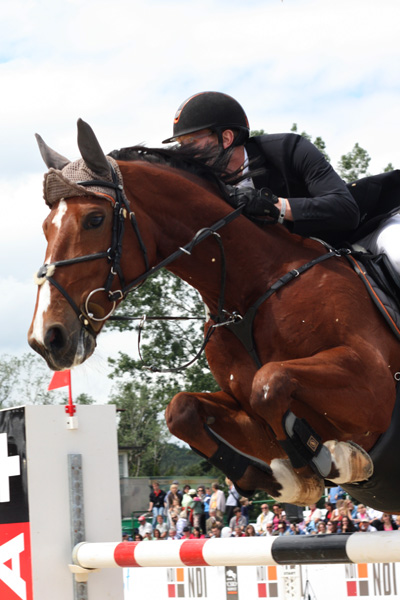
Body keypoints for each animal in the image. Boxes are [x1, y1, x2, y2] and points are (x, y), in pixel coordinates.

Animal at [27, 120, 400, 510]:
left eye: (94, 219)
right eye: (46, 227)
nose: (47, 337)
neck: (248, 291)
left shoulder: (375, 388)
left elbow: (270, 381)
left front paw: (336, 460)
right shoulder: (245, 409)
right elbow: (183, 409)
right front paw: (282, 480)